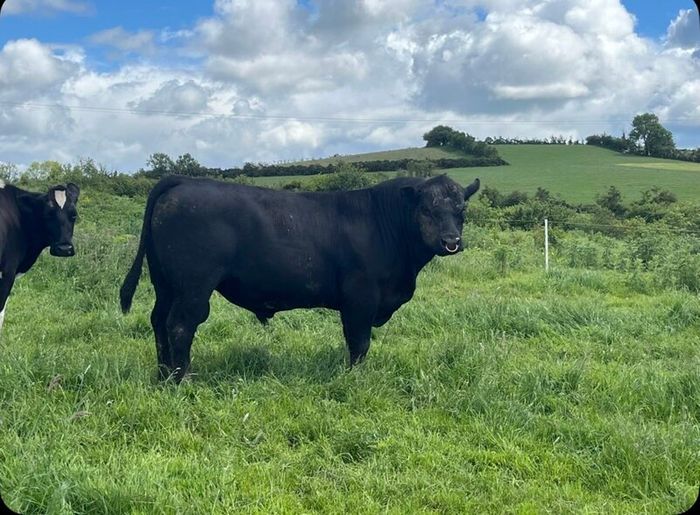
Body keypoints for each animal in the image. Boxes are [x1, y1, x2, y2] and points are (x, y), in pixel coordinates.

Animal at [120, 174, 480, 382]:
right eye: (426, 210)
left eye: (461, 210)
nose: (451, 242)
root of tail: (184, 181)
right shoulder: (360, 298)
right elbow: (359, 342)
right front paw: (355, 378)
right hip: (193, 286)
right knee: (180, 325)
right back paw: (183, 379)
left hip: (165, 283)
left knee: (158, 321)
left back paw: (163, 375)